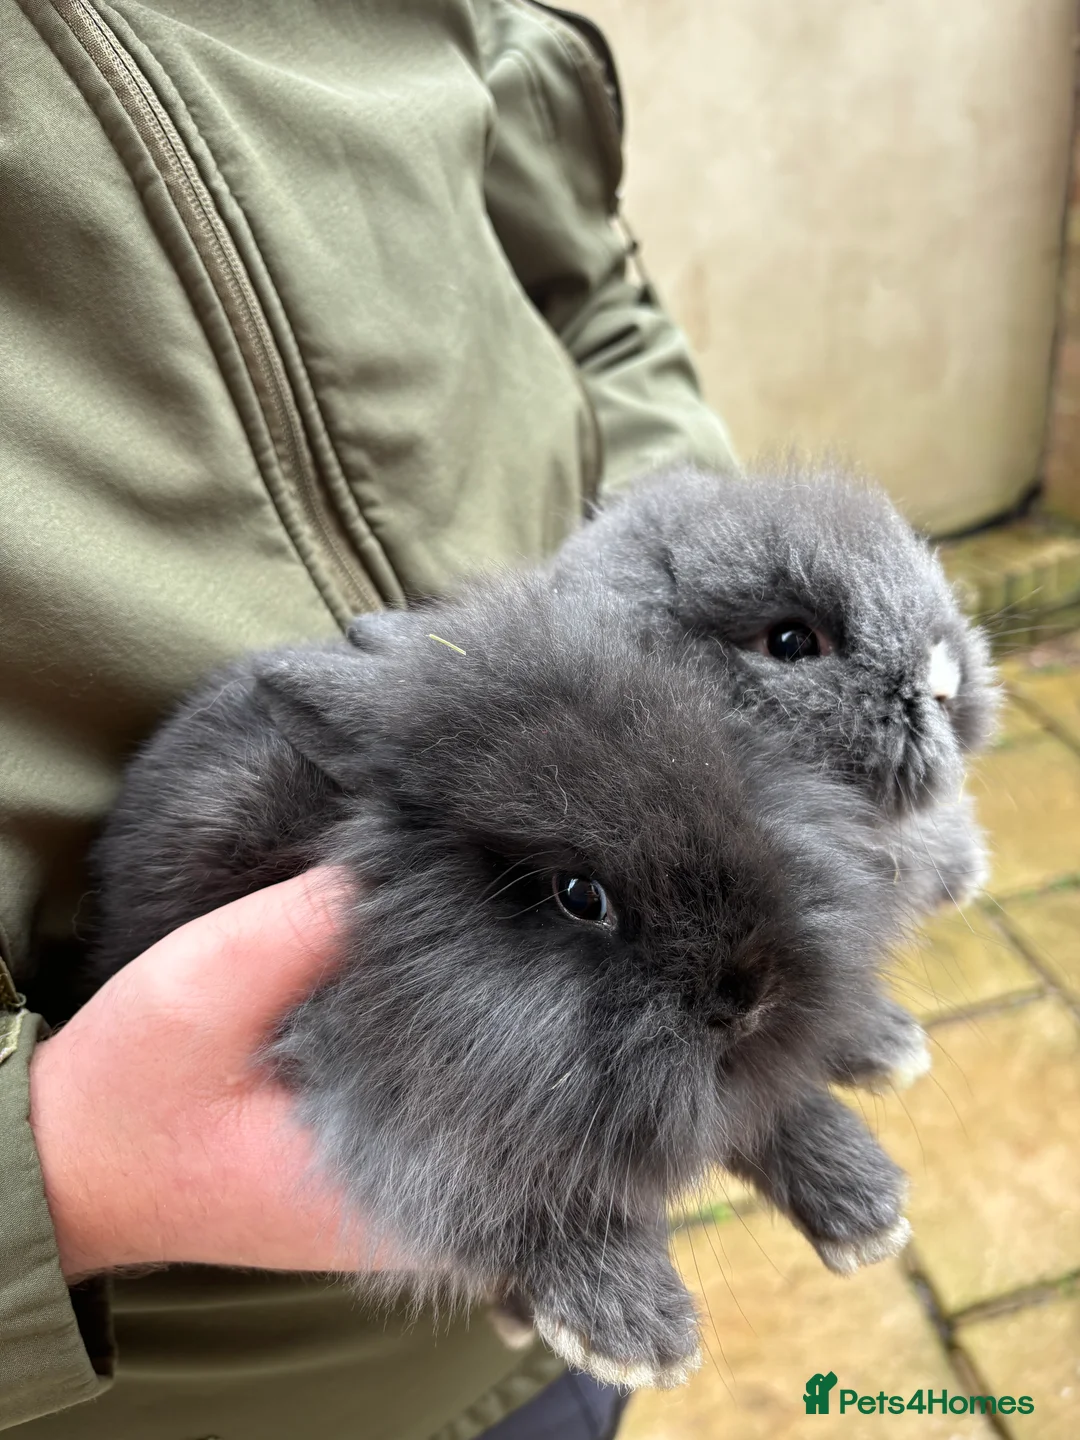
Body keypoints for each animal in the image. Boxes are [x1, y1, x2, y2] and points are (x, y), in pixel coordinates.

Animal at [91, 572, 920, 1390]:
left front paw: (870, 1210)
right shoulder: (417, 1118)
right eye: (579, 894)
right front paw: (637, 1338)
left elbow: (771, 1106)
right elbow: (519, 1200)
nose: (749, 996)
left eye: (732, 785)